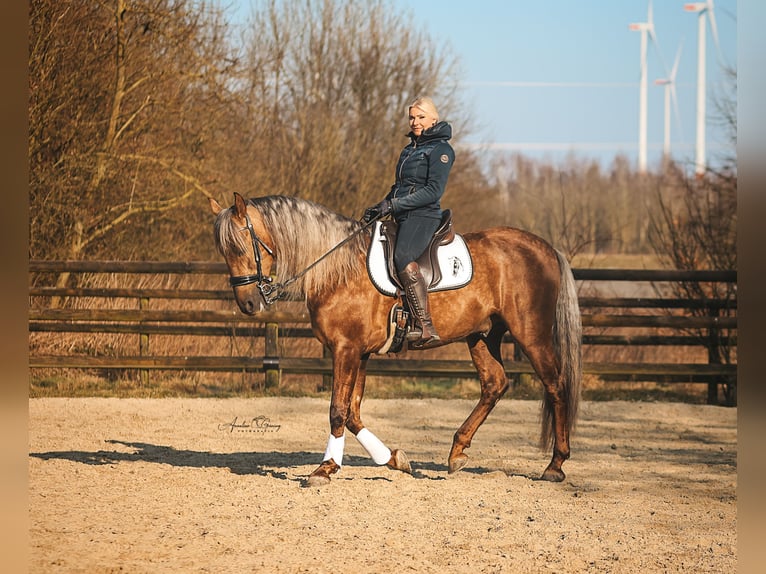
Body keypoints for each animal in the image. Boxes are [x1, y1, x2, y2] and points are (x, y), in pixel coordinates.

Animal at [210, 194, 584, 486]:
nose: (248, 304)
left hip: (531, 333)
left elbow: (337, 411)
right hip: (482, 335)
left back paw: (555, 465)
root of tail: (546, 248)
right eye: (223, 251)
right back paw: (457, 452)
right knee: (495, 384)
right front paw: (393, 458)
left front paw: (325, 468)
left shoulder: (346, 349)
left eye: (241, 246)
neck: (337, 268)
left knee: (555, 385)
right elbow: (353, 413)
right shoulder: (359, 352)